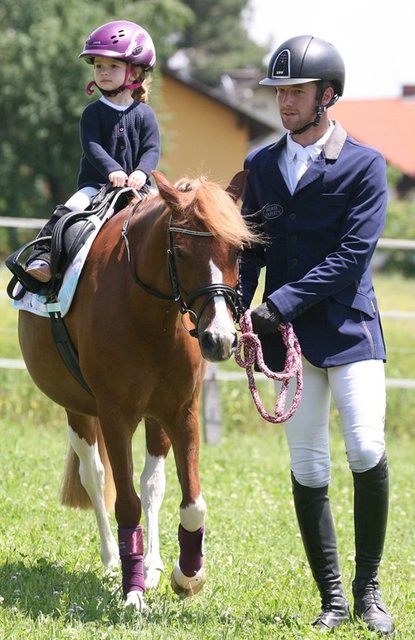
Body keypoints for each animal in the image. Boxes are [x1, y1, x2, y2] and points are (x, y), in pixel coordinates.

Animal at [17, 169, 256, 608]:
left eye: (236, 250)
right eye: (181, 252)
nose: (219, 339)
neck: (150, 316)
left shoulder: (182, 412)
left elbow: (191, 503)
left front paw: (187, 575)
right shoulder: (115, 416)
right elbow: (125, 503)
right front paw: (133, 591)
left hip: (154, 417)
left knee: (152, 485)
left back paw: (155, 564)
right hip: (79, 411)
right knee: (95, 478)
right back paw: (115, 561)